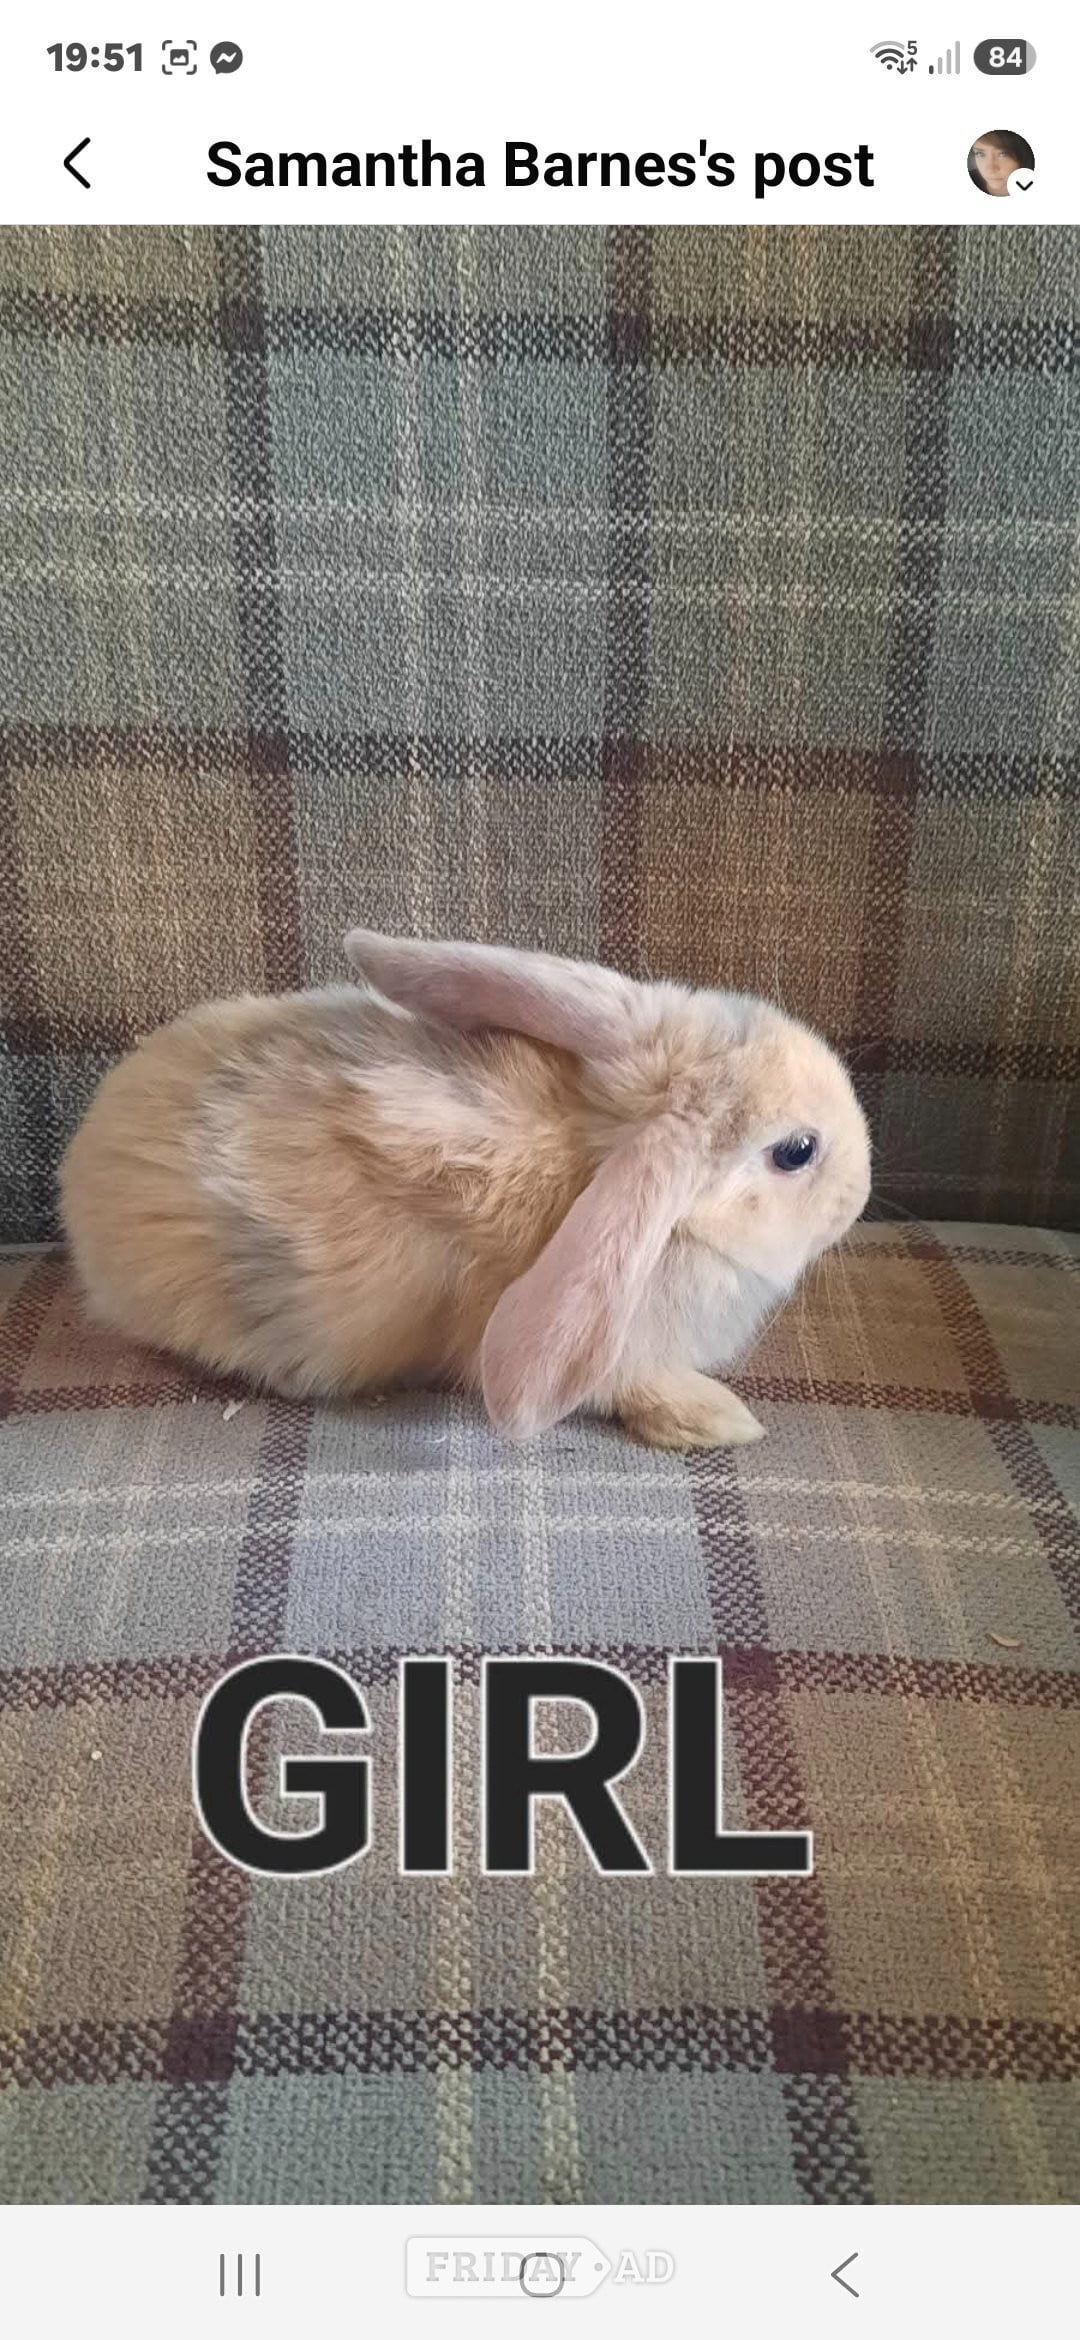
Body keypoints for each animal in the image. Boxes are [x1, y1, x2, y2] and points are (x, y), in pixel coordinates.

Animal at [58, 931, 871, 1450]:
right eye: (797, 1152)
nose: (860, 1194)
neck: (598, 1151)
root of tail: (81, 1162)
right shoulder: (618, 1354)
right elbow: (631, 1388)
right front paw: (719, 1420)